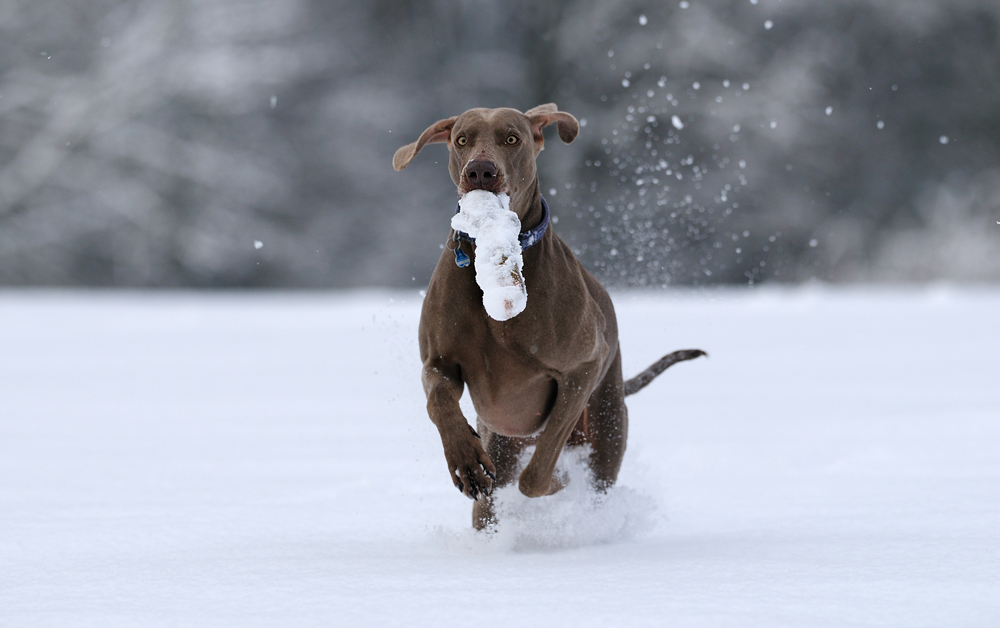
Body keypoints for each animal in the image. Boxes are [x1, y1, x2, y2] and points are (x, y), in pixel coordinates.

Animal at [390, 105, 704, 528]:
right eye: (461, 140)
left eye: (512, 138)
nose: (480, 171)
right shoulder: (438, 362)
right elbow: (439, 401)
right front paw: (465, 462)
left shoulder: (582, 369)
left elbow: (537, 474)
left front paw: (558, 482)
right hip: (502, 444)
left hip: (606, 425)